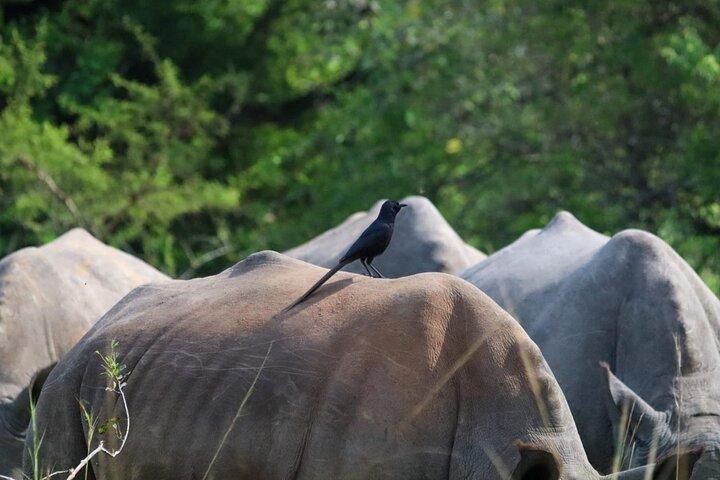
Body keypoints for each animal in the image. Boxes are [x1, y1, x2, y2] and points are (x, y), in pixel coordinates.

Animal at [285, 196, 485, 277]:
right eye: (395, 204)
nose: (403, 204)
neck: (387, 220)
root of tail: (344, 258)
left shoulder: (369, 254)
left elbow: (367, 264)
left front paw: (374, 276)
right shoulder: (374, 249)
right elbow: (371, 264)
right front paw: (379, 276)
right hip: (362, 251)